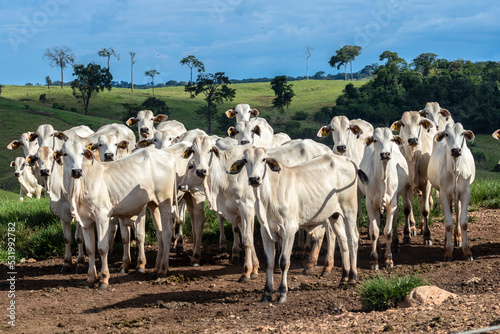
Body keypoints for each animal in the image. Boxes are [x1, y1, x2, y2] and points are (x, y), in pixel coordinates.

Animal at [56, 142, 177, 288]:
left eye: (81, 153)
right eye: (65, 153)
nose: (77, 171)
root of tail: (168, 156)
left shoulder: (102, 217)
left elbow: (102, 248)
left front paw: (104, 279)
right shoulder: (85, 221)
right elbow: (90, 249)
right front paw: (90, 279)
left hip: (165, 202)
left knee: (167, 233)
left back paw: (163, 270)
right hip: (153, 204)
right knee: (160, 233)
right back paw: (156, 269)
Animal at [229, 149, 368, 302]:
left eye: (264, 159)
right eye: (245, 160)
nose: (254, 179)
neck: (267, 198)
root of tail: (346, 159)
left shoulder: (289, 230)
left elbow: (284, 262)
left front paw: (282, 293)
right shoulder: (266, 232)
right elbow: (269, 262)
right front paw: (267, 293)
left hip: (350, 210)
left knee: (352, 239)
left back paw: (353, 277)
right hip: (334, 215)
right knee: (343, 241)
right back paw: (344, 277)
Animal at [360, 127, 410, 268]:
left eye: (391, 139)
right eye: (375, 140)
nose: (385, 154)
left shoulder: (392, 203)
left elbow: (387, 231)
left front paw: (388, 258)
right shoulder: (370, 204)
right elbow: (374, 232)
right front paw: (374, 259)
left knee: (395, 220)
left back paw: (396, 244)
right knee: (377, 223)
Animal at [392, 111, 436, 244]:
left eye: (419, 123)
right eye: (403, 124)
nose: (412, 140)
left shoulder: (426, 184)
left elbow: (425, 209)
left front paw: (427, 235)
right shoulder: (405, 186)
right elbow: (407, 208)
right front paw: (407, 234)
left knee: (423, 202)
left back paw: (421, 226)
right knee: (411, 203)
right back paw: (412, 227)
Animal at [426, 122, 476, 260]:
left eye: (462, 133)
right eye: (447, 134)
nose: (456, 150)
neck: (455, 169)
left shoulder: (465, 193)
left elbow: (464, 222)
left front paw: (467, 251)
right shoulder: (443, 193)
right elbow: (448, 223)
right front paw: (448, 252)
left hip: (457, 195)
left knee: (457, 212)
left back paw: (457, 238)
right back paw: (446, 242)